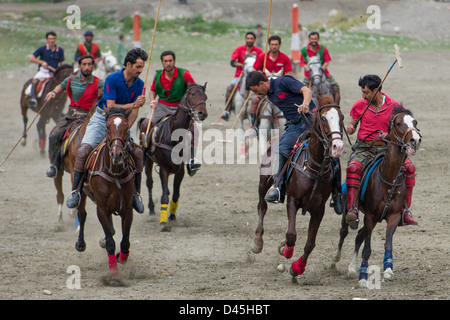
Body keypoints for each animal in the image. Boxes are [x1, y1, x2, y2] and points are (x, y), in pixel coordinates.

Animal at [75, 107, 137, 276]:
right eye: (107, 127)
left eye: (127, 127)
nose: (117, 155)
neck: (115, 173)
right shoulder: (101, 208)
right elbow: (110, 241)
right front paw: (113, 272)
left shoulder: (127, 209)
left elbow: (125, 242)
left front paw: (121, 257)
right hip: (82, 192)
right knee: (82, 214)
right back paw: (80, 243)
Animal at [140, 83, 208, 232]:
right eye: (192, 94)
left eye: (205, 96)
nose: (202, 114)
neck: (174, 135)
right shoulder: (164, 168)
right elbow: (165, 194)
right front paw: (163, 223)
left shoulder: (180, 170)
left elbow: (176, 194)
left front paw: (172, 216)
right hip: (148, 161)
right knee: (149, 182)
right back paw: (152, 209)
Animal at [250, 104, 344, 278]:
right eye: (323, 118)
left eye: (341, 117)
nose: (338, 147)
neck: (314, 167)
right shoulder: (292, 200)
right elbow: (291, 234)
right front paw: (286, 250)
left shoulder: (319, 209)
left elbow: (310, 243)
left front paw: (297, 268)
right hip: (263, 182)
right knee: (262, 206)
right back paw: (258, 241)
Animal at [330, 110, 422, 288]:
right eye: (399, 123)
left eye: (415, 122)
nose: (415, 139)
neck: (389, 178)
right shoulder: (370, 216)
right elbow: (367, 248)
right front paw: (363, 277)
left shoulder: (393, 217)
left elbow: (387, 243)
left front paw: (388, 269)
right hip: (347, 209)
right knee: (344, 231)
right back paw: (334, 261)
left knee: (359, 236)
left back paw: (352, 268)